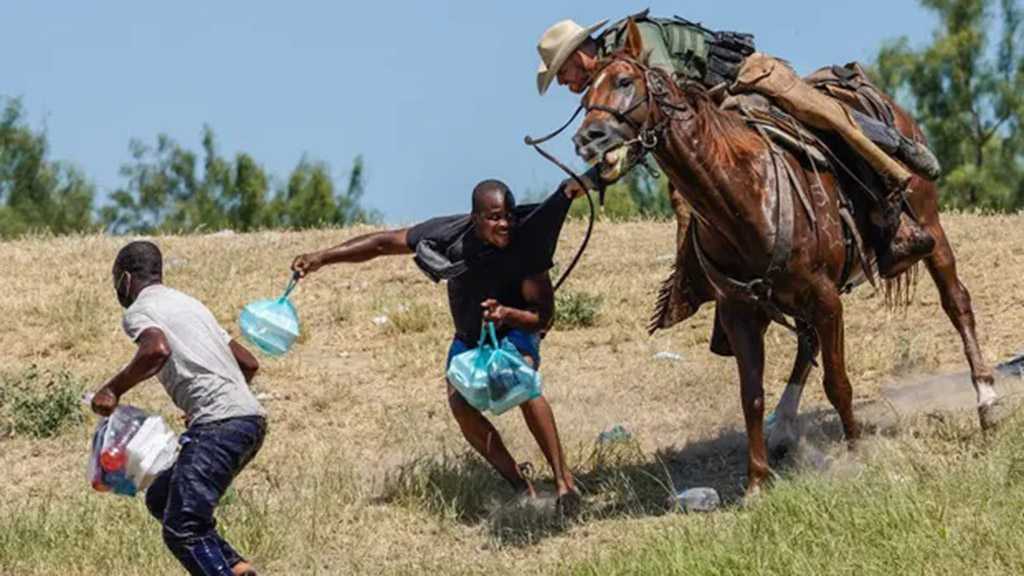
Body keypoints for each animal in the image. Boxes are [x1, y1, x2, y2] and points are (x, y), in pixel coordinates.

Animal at [577, 20, 999, 491]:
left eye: (624, 81)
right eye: (584, 95)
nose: (588, 138)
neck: (742, 194)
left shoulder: (826, 298)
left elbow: (838, 383)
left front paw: (857, 453)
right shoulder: (740, 311)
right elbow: (752, 395)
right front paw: (757, 482)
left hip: (930, 228)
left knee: (956, 303)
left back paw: (987, 401)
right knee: (806, 342)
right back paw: (783, 426)